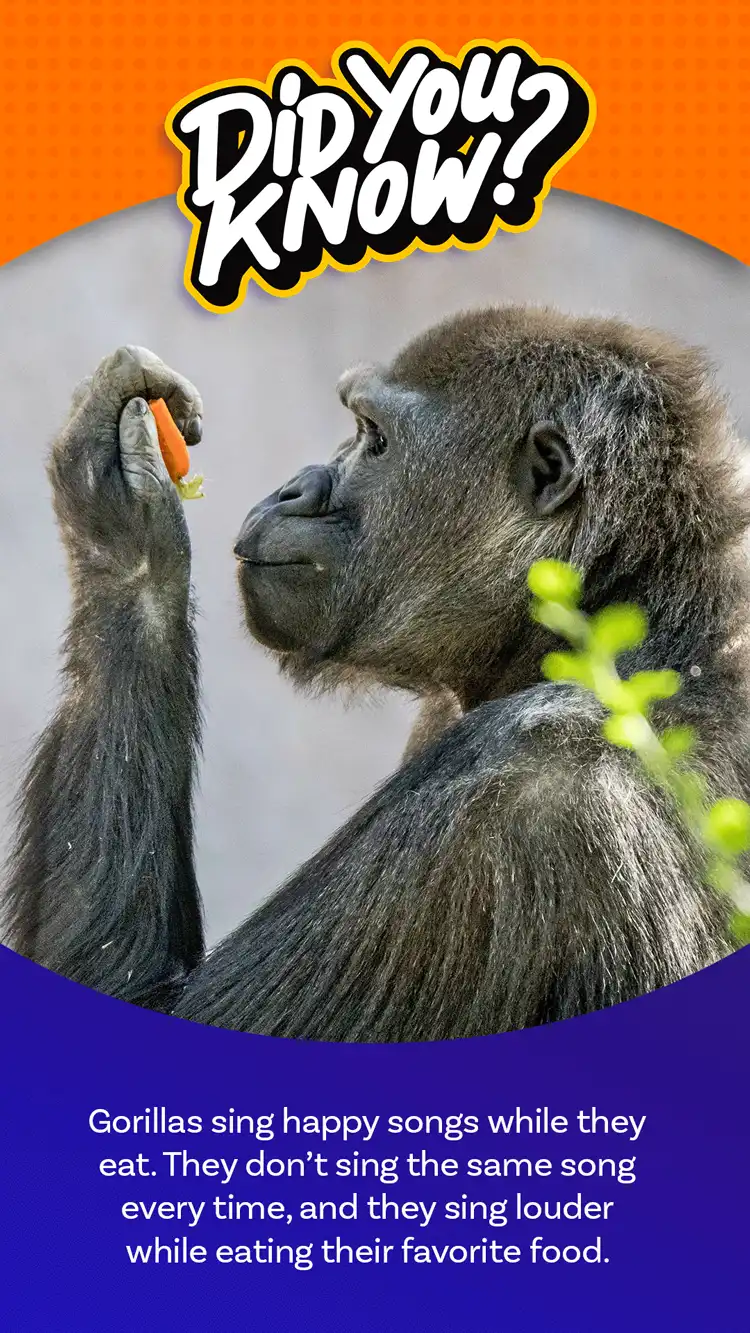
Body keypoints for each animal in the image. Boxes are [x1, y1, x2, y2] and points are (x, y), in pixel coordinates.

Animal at [3, 306, 749, 1041]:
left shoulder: (527, 782)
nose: (294, 489)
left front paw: (119, 515)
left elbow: (145, 999)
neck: (642, 603)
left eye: (376, 440)